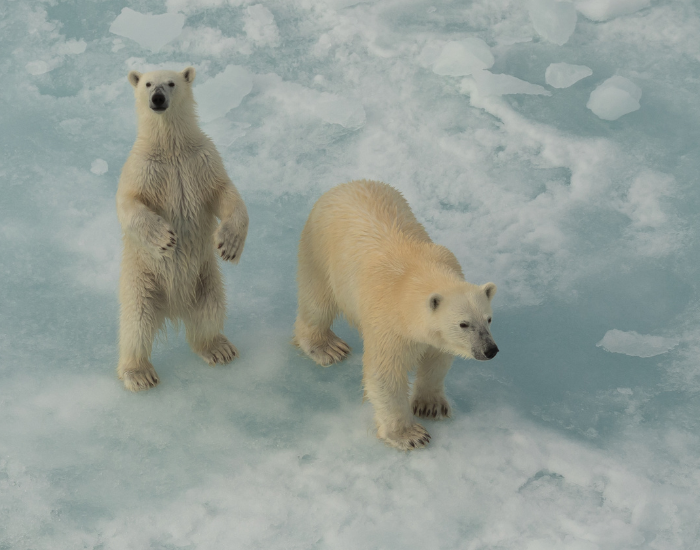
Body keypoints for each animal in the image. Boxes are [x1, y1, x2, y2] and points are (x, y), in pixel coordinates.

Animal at [116, 67, 249, 392]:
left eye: (171, 83)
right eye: (147, 83)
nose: (157, 98)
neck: (171, 148)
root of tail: (174, 307)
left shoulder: (202, 159)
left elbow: (225, 193)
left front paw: (229, 244)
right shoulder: (142, 167)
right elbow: (130, 204)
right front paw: (164, 238)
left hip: (205, 276)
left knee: (211, 309)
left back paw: (218, 348)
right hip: (142, 280)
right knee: (136, 325)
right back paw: (139, 374)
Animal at [294, 180, 498, 450]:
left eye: (488, 319)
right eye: (463, 324)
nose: (490, 350)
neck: (416, 275)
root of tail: (345, 185)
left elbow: (437, 359)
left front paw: (430, 405)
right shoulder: (388, 323)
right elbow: (385, 375)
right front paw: (411, 435)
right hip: (320, 251)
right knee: (318, 303)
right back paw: (327, 347)